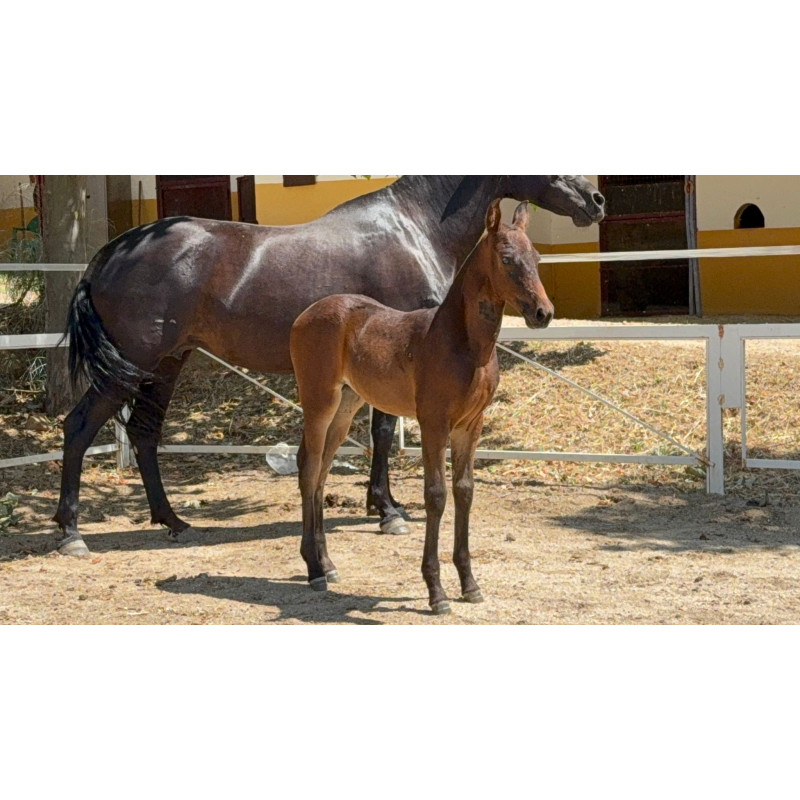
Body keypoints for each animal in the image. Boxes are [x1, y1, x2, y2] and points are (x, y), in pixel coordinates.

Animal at [55, 176, 604, 556]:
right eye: (509, 259)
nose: (595, 200)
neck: (415, 226)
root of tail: (109, 253)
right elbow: (382, 433)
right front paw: (388, 511)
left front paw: (381, 506)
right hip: (131, 364)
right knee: (79, 427)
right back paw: (71, 533)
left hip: (167, 362)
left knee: (145, 433)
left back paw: (172, 521)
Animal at [290, 200, 551, 614]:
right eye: (508, 259)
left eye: (537, 258)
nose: (543, 313)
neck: (463, 344)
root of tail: (304, 315)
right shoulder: (433, 422)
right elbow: (436, 495)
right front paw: (436, 591)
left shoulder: (470, 425)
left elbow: (464, 491)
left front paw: (470, 584)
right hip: (319, 402)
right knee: (309, 468)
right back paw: (314, 570)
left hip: (346, 407)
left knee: (321, 474)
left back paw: (327, 564)